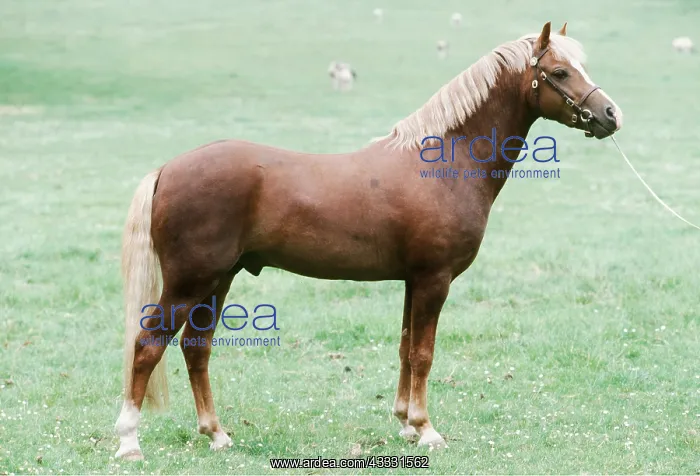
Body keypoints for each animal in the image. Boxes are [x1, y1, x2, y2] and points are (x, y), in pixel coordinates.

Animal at [114, 21, 623, 460]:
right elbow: (423, 354)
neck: (444, 163)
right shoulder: (434, 279)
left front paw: (404, 422)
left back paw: (216, 434)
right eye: (560, 71)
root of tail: (168, 169)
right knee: (148, 347)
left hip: (218, 280)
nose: (610, 114)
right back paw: (129, 441)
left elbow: (405, 348)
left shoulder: (413, 281)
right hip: (190, 282)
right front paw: (426, 429)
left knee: (195, 348)